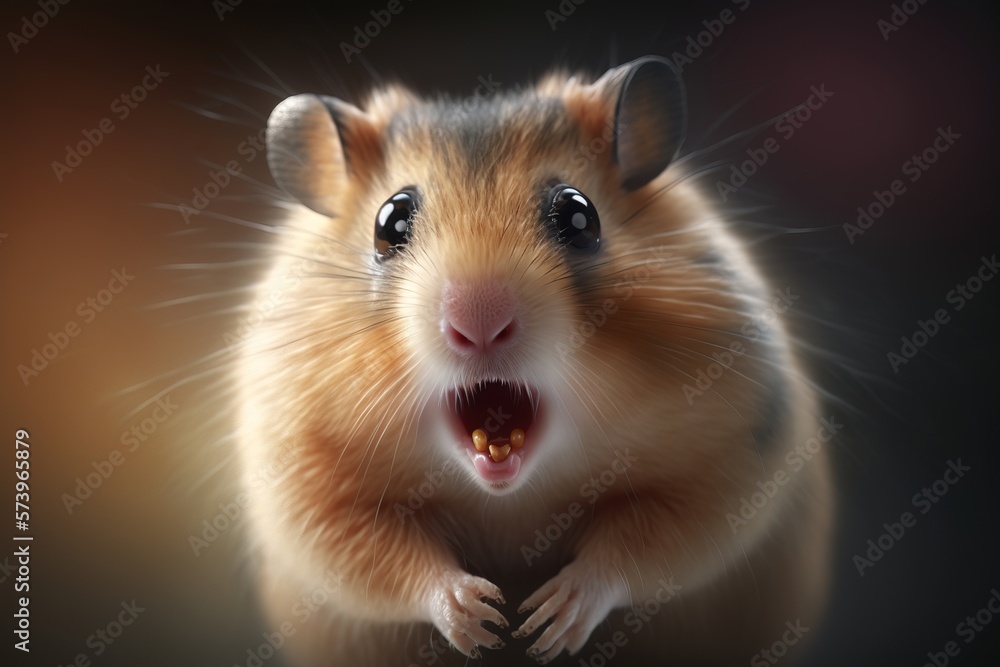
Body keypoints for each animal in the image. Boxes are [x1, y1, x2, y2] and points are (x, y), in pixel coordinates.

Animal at [236, 55, 834, 666]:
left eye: (579, 216)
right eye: (389, 223)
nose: (479, 324)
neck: (509, 498)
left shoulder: (729, 465)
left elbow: (642, 546)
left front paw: (546, 623)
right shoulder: (308, 488)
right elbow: (379, 557)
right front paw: (483, 618)